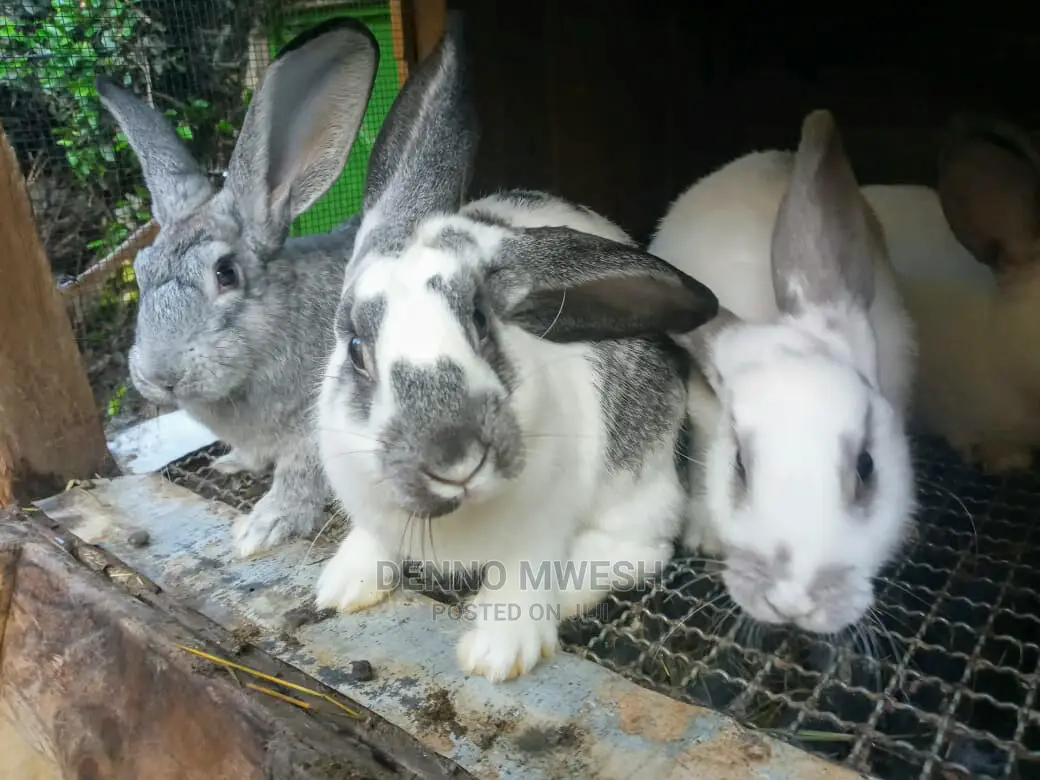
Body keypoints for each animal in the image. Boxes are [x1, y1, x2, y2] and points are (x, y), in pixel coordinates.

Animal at [94, 18, 380, 557]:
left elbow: (298, 478)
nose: (161, 375)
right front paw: (230, 464)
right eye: (140, 270)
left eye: (226, 273)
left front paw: (260, 530)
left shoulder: (314, 429)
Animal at [312, 13, 720, 683]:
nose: (455, 458)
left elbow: (527, 572)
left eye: (482, 320)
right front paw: (342, 586)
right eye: (354, 349)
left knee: (645, 546)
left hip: (638, 480)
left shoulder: (542, 527)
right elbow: (372, 540)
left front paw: (495, 653)